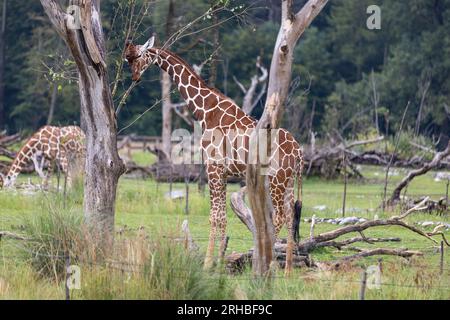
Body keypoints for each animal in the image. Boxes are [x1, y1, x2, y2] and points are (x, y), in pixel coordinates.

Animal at [125, 37, 304, 272]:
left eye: (138, 55)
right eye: (127, 59)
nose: (135, 78)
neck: (206, 111)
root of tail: (298, 151)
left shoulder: (213, 167)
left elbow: (214, 216)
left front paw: (208, 263)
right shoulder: (223, 171)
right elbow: (223, 216)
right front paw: (220, 261)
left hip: (277, 179)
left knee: (280, 217)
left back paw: (270, 264)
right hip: (289, 181)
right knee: (291, 216)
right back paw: (288, 270)